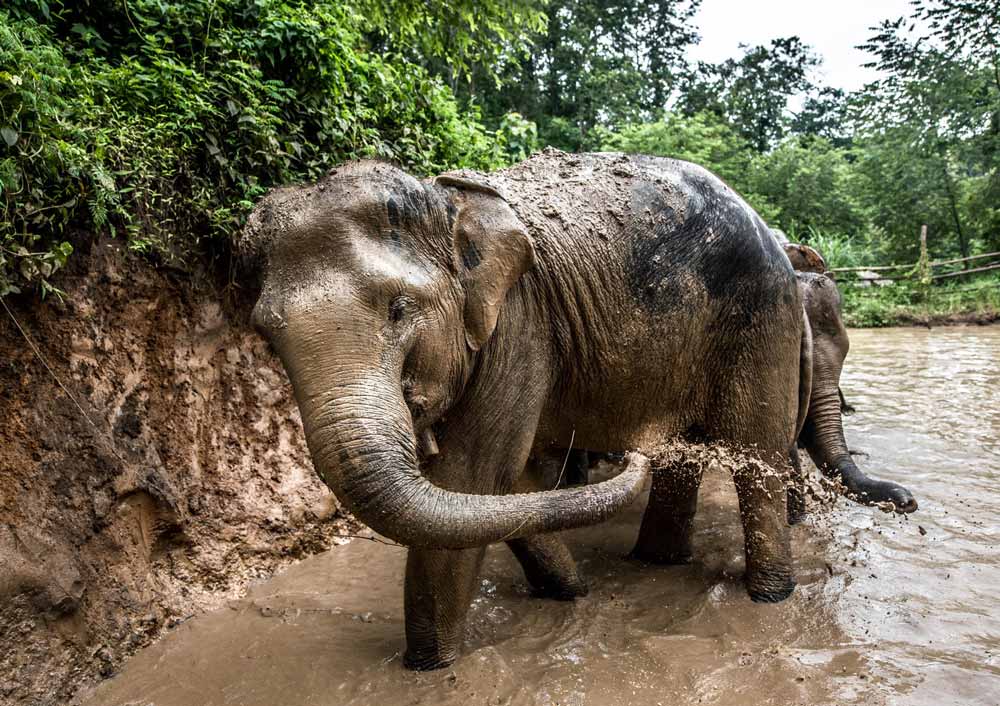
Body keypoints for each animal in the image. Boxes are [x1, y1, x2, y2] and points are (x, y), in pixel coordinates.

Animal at [240, 150, 812, 672]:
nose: (630, 457)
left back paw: (769, 596)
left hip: (764, 316)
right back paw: (656, 561)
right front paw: (571, 593)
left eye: (399, 309)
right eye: (267, 335)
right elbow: (502, 485)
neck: (445, 204)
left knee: (757, 457)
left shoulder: (519, 322)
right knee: (684, 457)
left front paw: (426, 670)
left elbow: (472, 474)